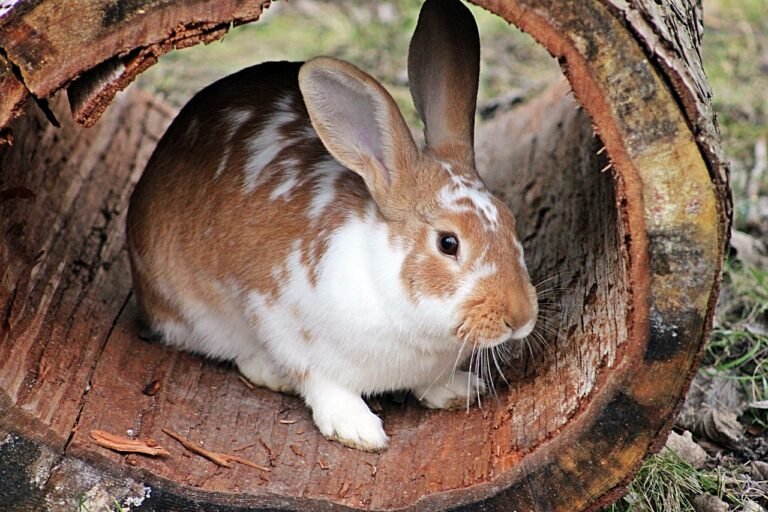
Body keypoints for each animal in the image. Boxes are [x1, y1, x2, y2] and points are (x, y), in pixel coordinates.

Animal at [126, 0, 538, 452]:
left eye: (510, 220)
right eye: (448, 242)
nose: (520, 317)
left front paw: (458, 390)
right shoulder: (289, 329)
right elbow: (323, 383)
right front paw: (359, 430)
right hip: (195, 310)